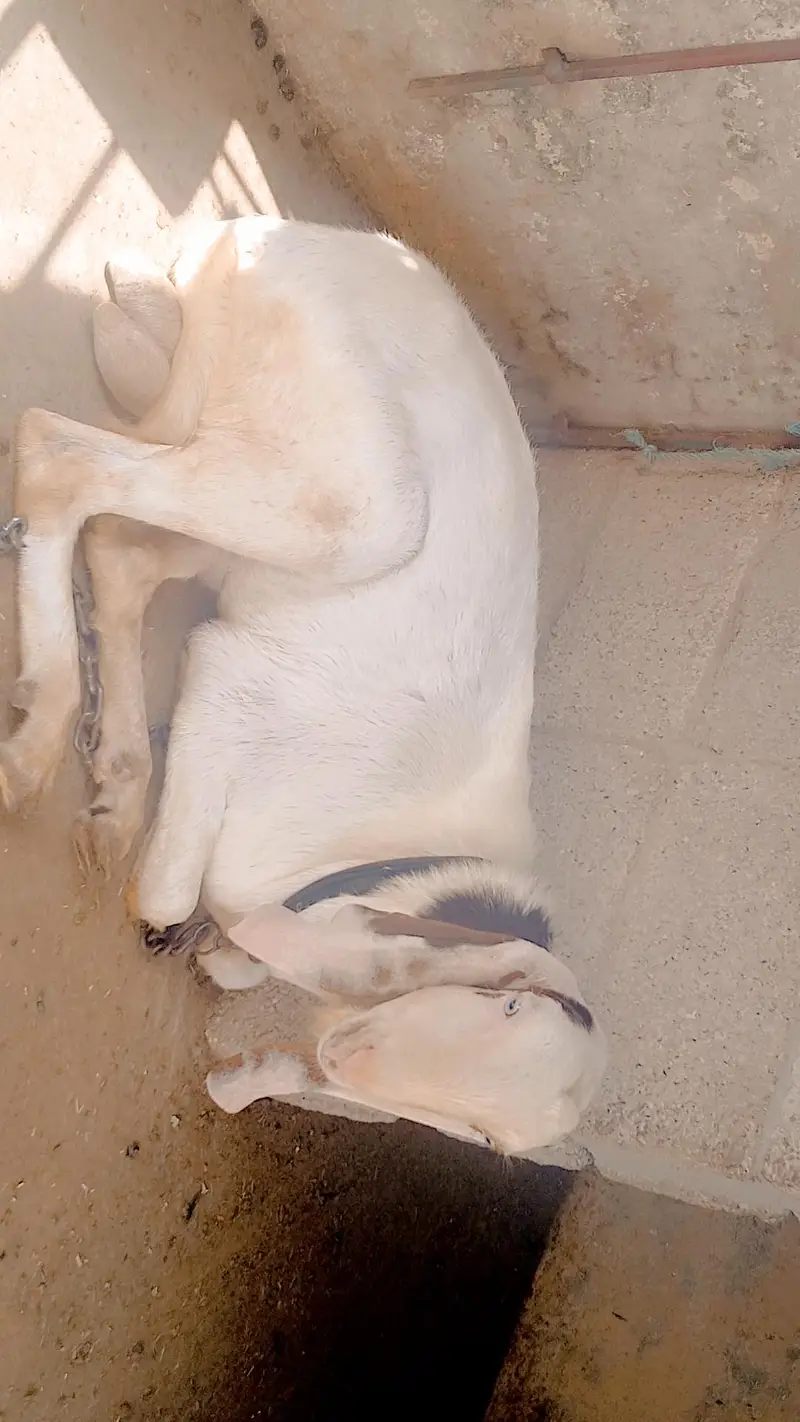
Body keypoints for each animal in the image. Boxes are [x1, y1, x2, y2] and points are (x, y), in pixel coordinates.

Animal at [2, 217, 605, 1153]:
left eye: (481, 1140)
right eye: (495, 1002)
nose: (341, 1063)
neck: (372, 859)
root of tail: (300, 235)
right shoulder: (227, 684)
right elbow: (167, 894)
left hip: (241, 497)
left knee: (116, 545)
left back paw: (111, 779)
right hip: (351, 510)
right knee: (56, 453)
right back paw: (44, 730)